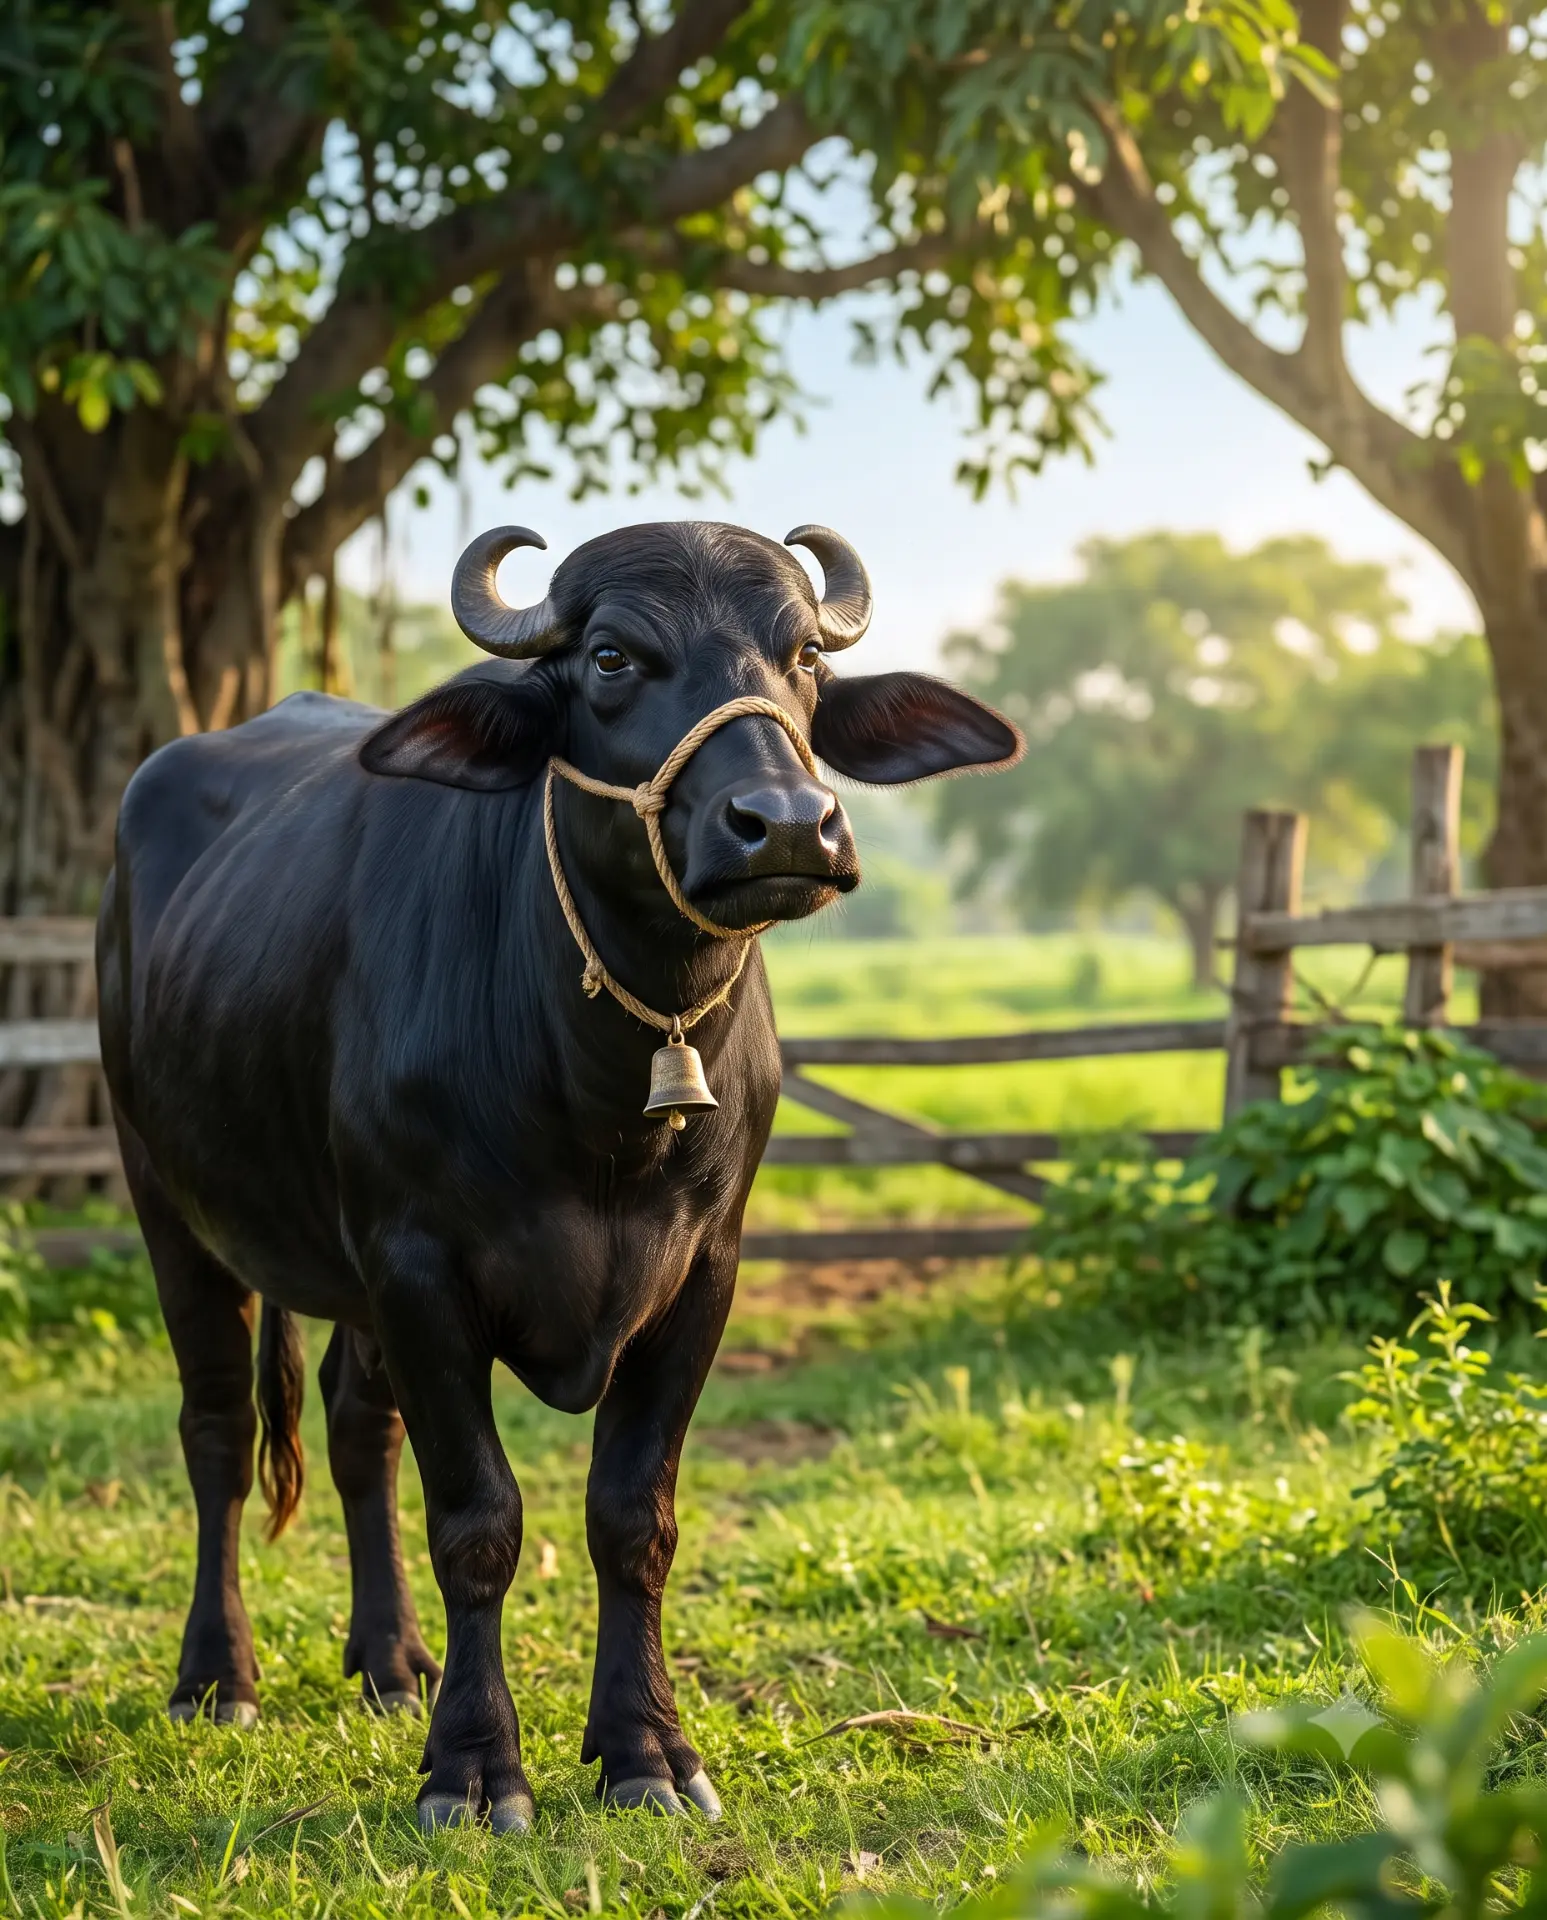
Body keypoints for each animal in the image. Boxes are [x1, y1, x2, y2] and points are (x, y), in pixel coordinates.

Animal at [97, 519, 1021, 1830]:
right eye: (609, 656)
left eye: (801, 654)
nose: (788, 825)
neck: (601, 1101)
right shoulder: (421, 1270)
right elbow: (478, 1520)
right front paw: (474, 1769)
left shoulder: (699, 1275)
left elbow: (632, 1517)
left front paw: (648, 1752)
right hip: (166, 1198)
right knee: (220, 1429)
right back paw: (217, 1677)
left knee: (354, 1426)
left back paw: (391, 1662)